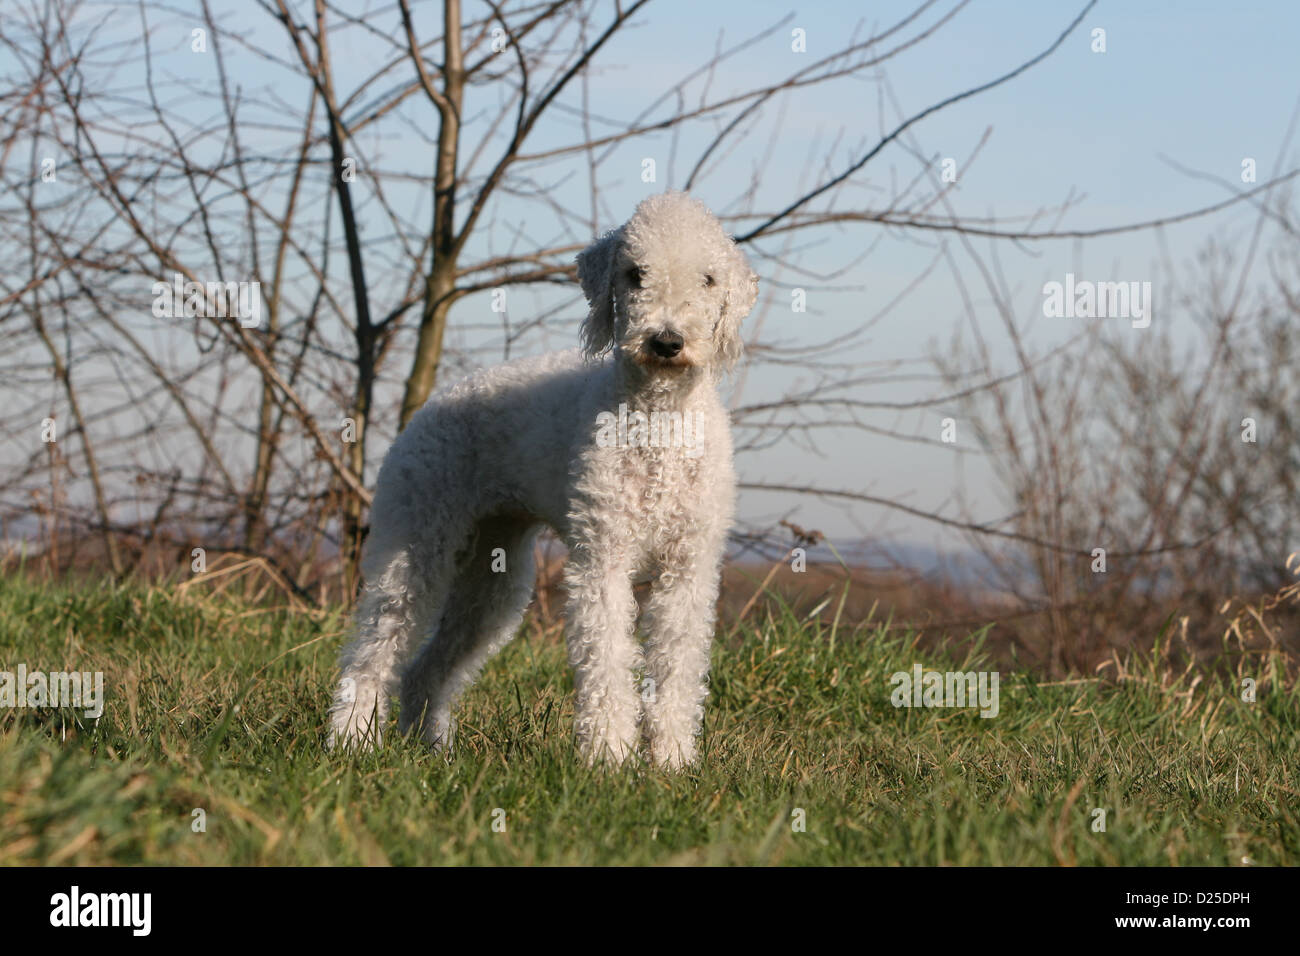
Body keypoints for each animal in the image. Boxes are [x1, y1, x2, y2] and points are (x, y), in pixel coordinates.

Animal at [330, 192, 759, 770]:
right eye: (635, 274)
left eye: (709, 280)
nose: (666, 342)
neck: (659, 420)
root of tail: (435, 403)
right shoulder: (603, 558)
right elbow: (607, 663)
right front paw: (609, 760)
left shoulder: (687, 569)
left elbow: (677, 671)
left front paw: (672, 763)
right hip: (416, 542)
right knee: (374, 650)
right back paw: (350, 743)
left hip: (494, 575)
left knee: (427, 669)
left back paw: (435, 753)